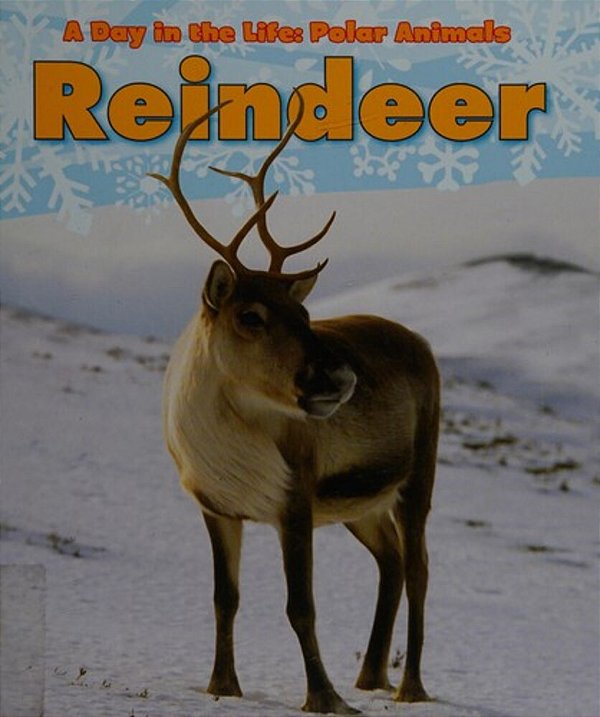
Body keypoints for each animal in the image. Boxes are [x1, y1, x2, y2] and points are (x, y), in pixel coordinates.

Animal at [152, 94, 440, 715]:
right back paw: (370, 676)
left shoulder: (296, 499)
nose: (342, 376)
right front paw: (222, 685)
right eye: (251, 315)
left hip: (416, 479)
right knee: (391, 562)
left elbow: (300, 606)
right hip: (360, 504)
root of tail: (420, 342)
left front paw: (325, 697)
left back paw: (408, 687)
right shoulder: (216, 506)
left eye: (304, 314)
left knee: (420, 568)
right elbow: (225, 598)